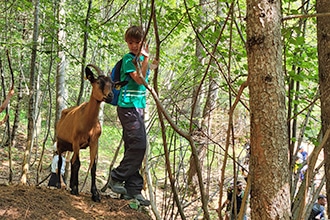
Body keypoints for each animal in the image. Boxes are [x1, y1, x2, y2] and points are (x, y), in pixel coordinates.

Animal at [55, 63, 113, 201]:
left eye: (112, 84)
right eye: (98, 82)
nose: (110, 96)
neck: (88, 122)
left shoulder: (94, 142)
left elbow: (93, 165)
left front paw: (95, 194)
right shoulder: (76, 140)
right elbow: (77, 163)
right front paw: (75, 189)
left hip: (70, 146)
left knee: (70, 161)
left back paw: (70, 184)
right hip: (60, 143)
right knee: (60, 161)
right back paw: (59, 184)